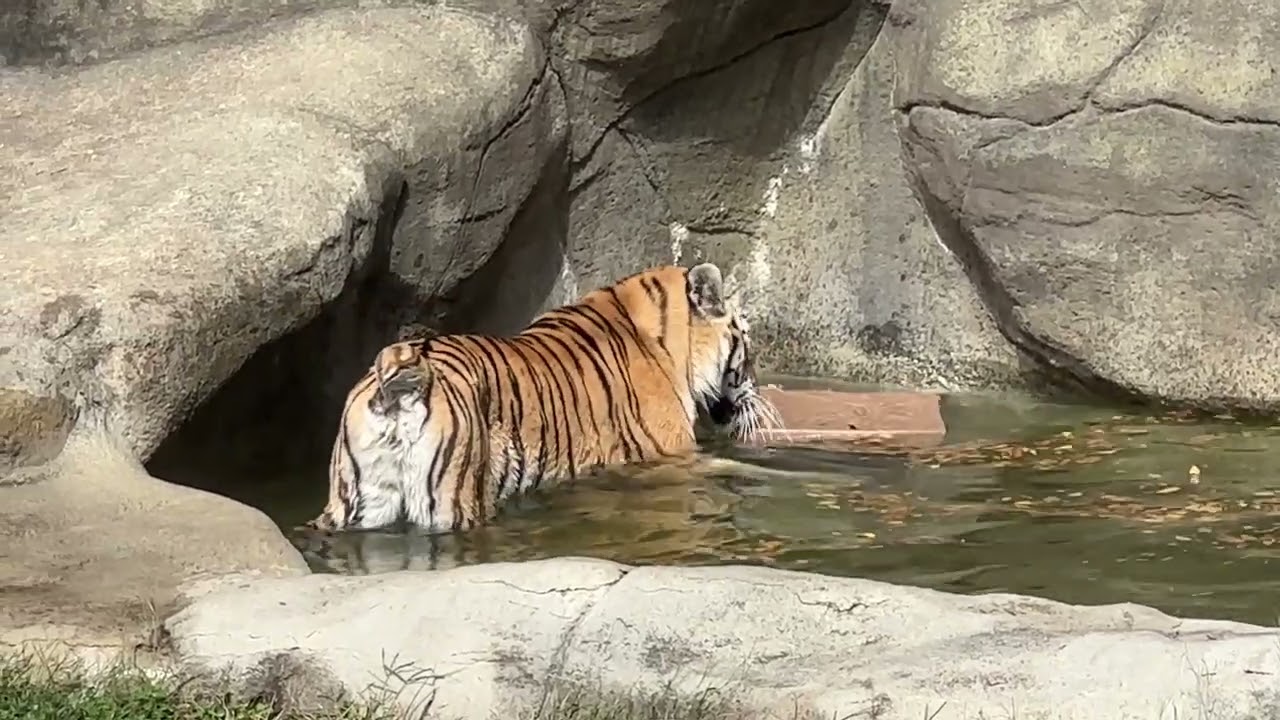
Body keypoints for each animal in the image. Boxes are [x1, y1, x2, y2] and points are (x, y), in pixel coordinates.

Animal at [307, 261, 783, 534]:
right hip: (452, 501)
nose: (759, 392)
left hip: (356, 501)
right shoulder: (672, 453)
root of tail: (405, 363)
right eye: (747, 341)